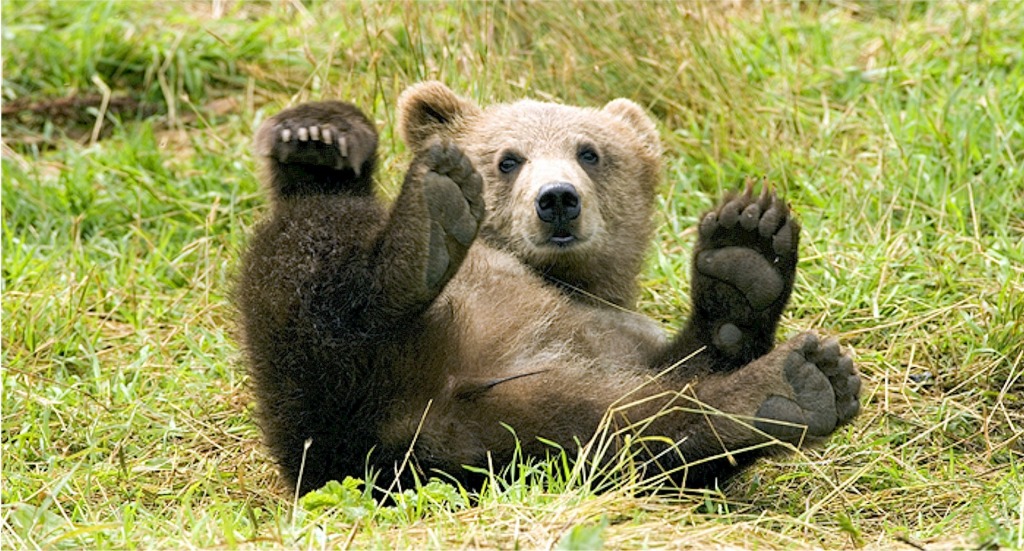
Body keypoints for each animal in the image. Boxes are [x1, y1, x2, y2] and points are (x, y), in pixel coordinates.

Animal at [234, 82, 861, 497]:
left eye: (590, 151)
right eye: (509, 158)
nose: (558, 198)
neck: (561, 278)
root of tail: (413, 421)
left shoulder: (614, 336)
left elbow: (686, 369)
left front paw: (746, 254)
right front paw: (318, 134)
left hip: (514, 431)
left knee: (631, 433)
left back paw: (792, 383)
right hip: (324, 395)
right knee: (312, 261)